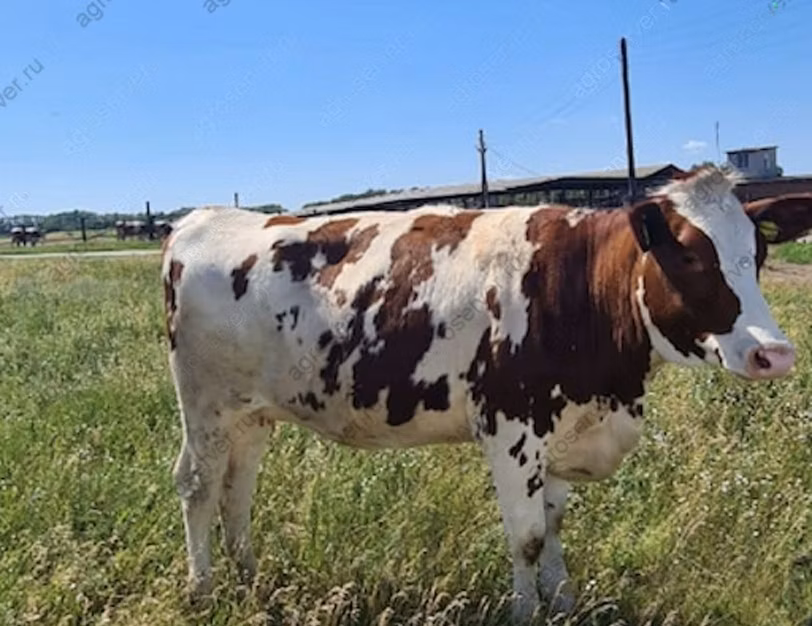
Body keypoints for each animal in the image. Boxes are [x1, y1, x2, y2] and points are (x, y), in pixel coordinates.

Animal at [160, 168, 812, 622]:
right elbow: (525, 538)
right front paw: (526, 613)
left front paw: (564, 603)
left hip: (252, 414)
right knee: (197, 486)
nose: (774, 354)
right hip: (204, 404)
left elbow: (553, 527)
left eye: (757, 253)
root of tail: (202, 219)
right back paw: (203, 590)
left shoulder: (564, 430)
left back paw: (248, 578)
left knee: (237, 490)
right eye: (689, 255)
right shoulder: (512, 428)